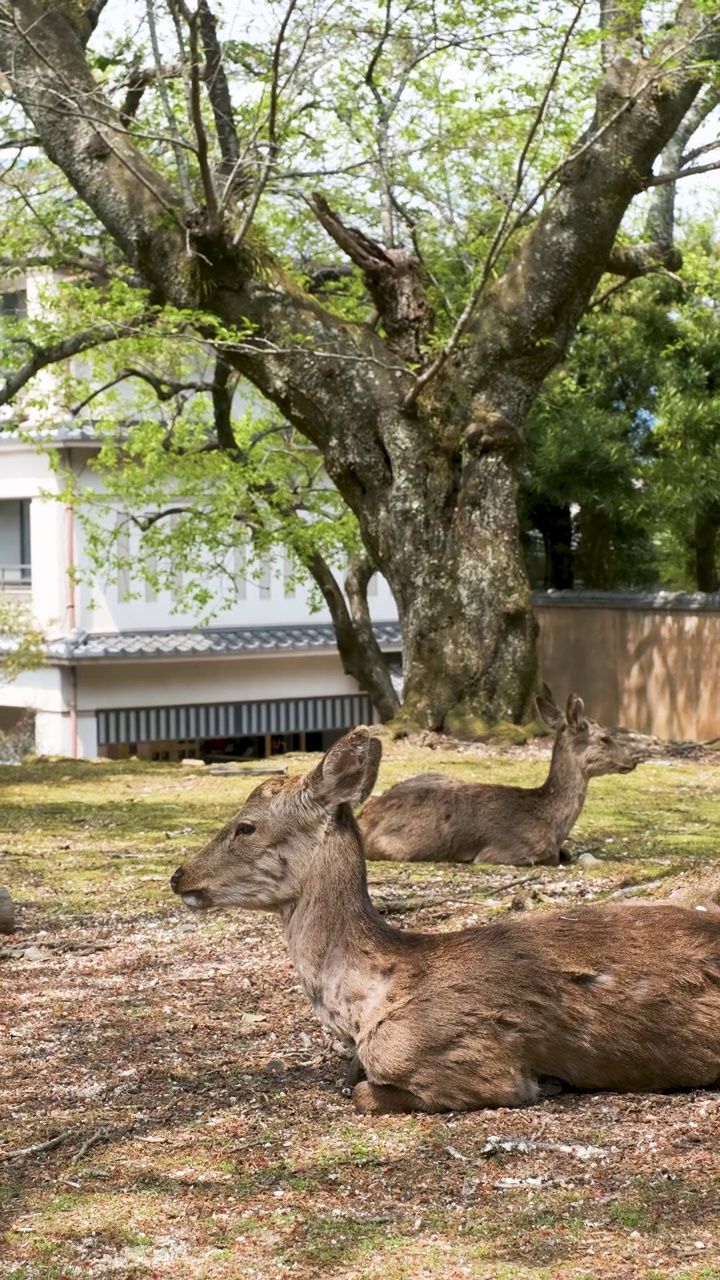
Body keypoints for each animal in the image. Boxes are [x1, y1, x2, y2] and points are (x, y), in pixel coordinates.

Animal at [170, 727, 717, 1116]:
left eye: (245, 826)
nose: (179, 875)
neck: (367, 1005)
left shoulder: (472, 1064)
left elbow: (364, 1093)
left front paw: (550, 1082)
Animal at [356, 696, 632, 865]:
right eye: (605, 738)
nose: (632, 760)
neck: (551, 824)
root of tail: (363, 818)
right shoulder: (505, 851)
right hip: (393, 847)